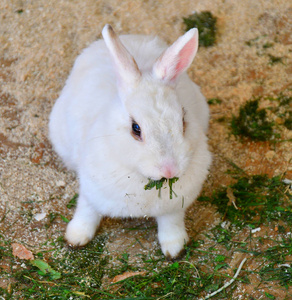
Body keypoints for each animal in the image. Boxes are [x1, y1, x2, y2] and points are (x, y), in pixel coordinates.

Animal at [49, 24, 211, 258]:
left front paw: (174, 249)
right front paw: (75, 237)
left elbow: (171, 225)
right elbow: (86, 212)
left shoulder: (174, 209)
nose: (169, 170)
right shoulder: (91, 193)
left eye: (183, 120)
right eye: (136, 128)